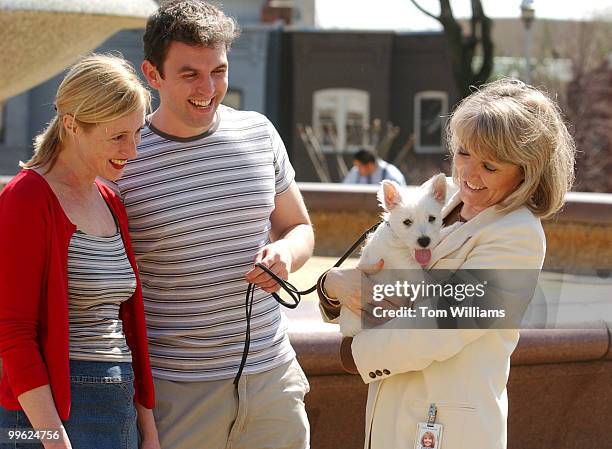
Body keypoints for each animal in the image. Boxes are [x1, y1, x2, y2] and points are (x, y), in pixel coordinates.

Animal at [338, 173, 452, 334]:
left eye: (431, 218)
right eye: (407, 222)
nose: (424, 241)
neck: (401, 243)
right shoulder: (411, 270)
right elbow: (430, 282)